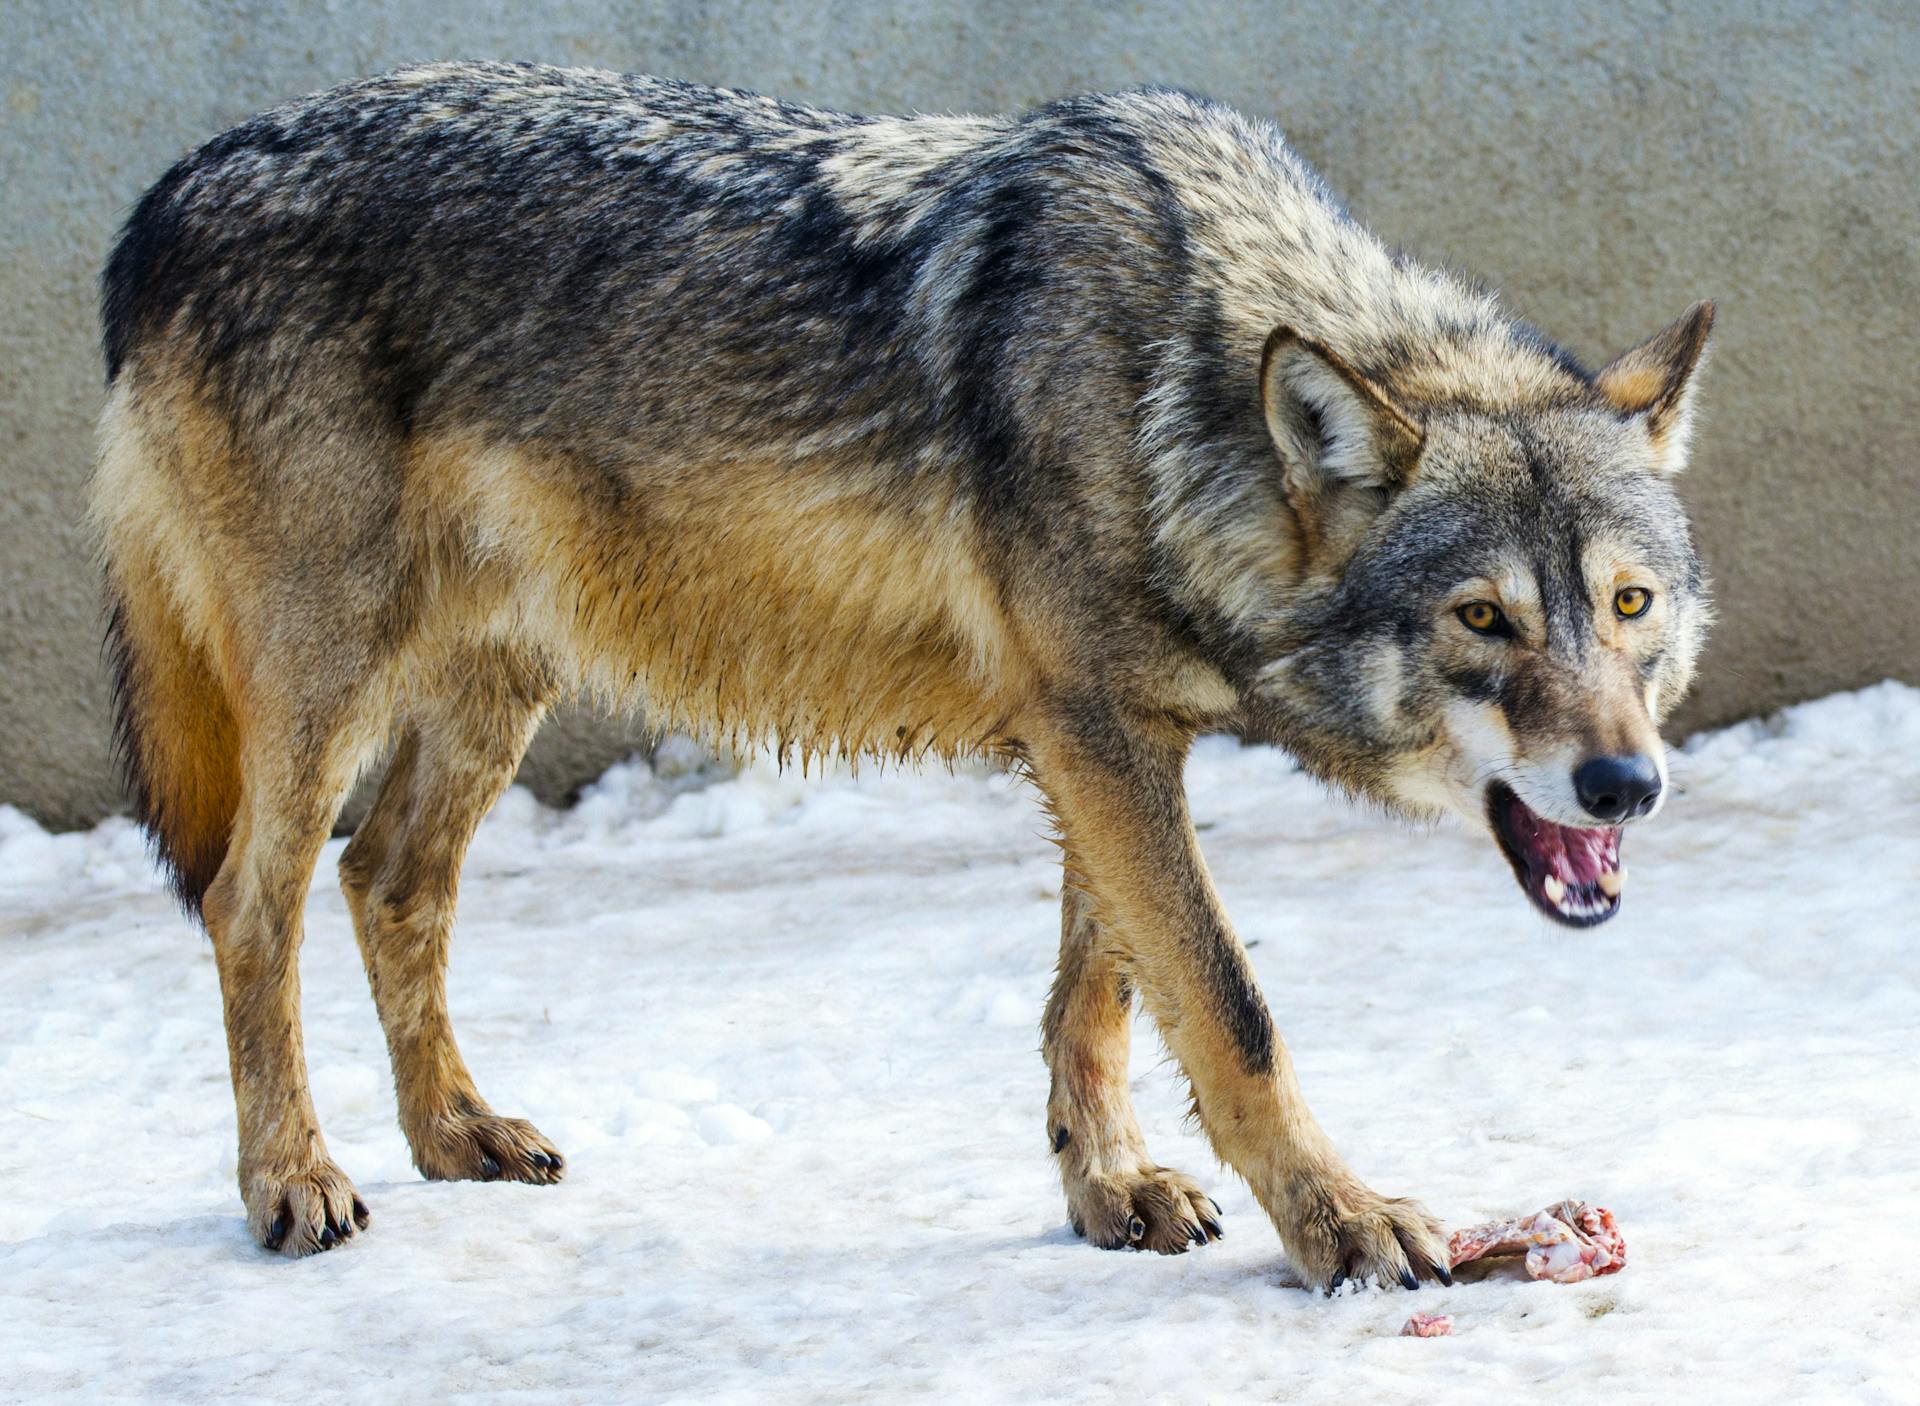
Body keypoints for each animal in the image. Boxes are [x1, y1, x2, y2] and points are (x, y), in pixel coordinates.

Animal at [86, 65, 1712, 1290]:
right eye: (1483, 619)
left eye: (1628, 605)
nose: (1627, 784)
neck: (1170, 389)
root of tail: (164, 195)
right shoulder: (1095, 733)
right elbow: (1229, 1005)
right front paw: (1343, 1223)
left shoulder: (1107, 735)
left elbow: (1103, 991)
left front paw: (1110, 1189)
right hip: (326, 692)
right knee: (253, 901)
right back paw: (294, 1178)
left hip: (495, 687)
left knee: (388, 880)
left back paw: (454, 1135)